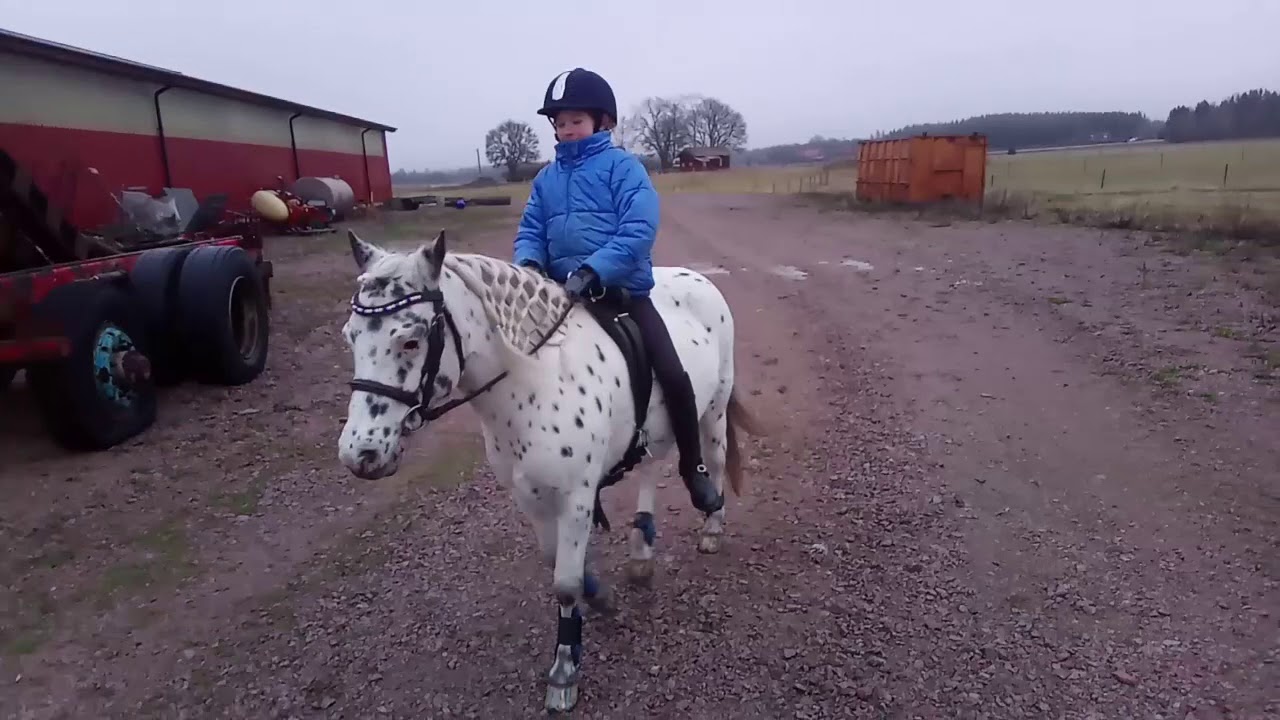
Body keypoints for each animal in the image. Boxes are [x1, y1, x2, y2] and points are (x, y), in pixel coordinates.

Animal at [336, 228, 763, 712]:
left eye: (410, 341)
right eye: (351, 338)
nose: (359, 453)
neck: (535, 380)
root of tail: (701, 280)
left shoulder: (576, 497)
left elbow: (565, 584)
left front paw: (563, 672)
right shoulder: (530, 497)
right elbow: (556, 563)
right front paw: (601, 597)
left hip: (713, 408)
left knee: (711, 458)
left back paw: (711, 525)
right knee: (651, 466)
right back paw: (641, 548)